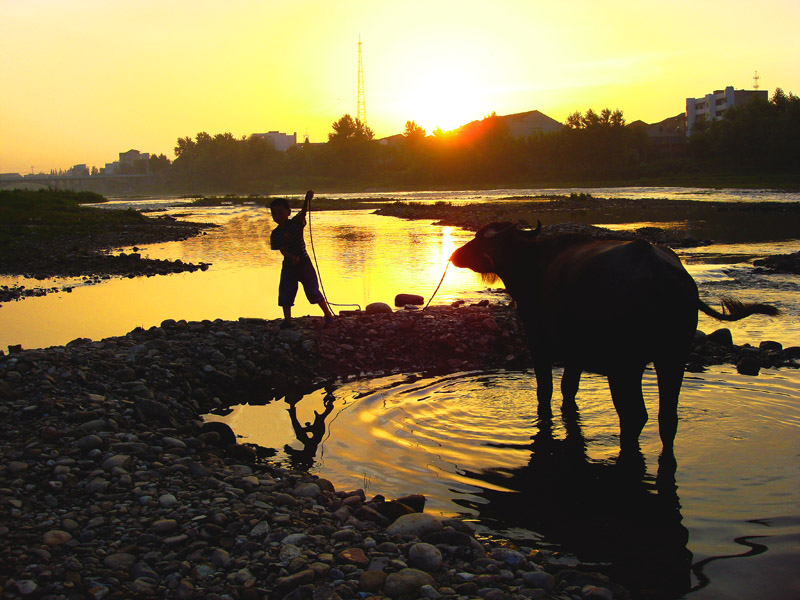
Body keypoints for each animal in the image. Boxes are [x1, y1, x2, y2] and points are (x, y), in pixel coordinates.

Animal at [454, 223, 780, 452]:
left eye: (479, 240)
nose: (455, 255)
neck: (532, 264)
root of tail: (664, 275)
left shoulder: (540, 342)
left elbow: (546, 390)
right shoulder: (575, 354)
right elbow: (568, 389)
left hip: (625, 365)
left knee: (634, 414)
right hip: (672, 357)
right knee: (666, 417)